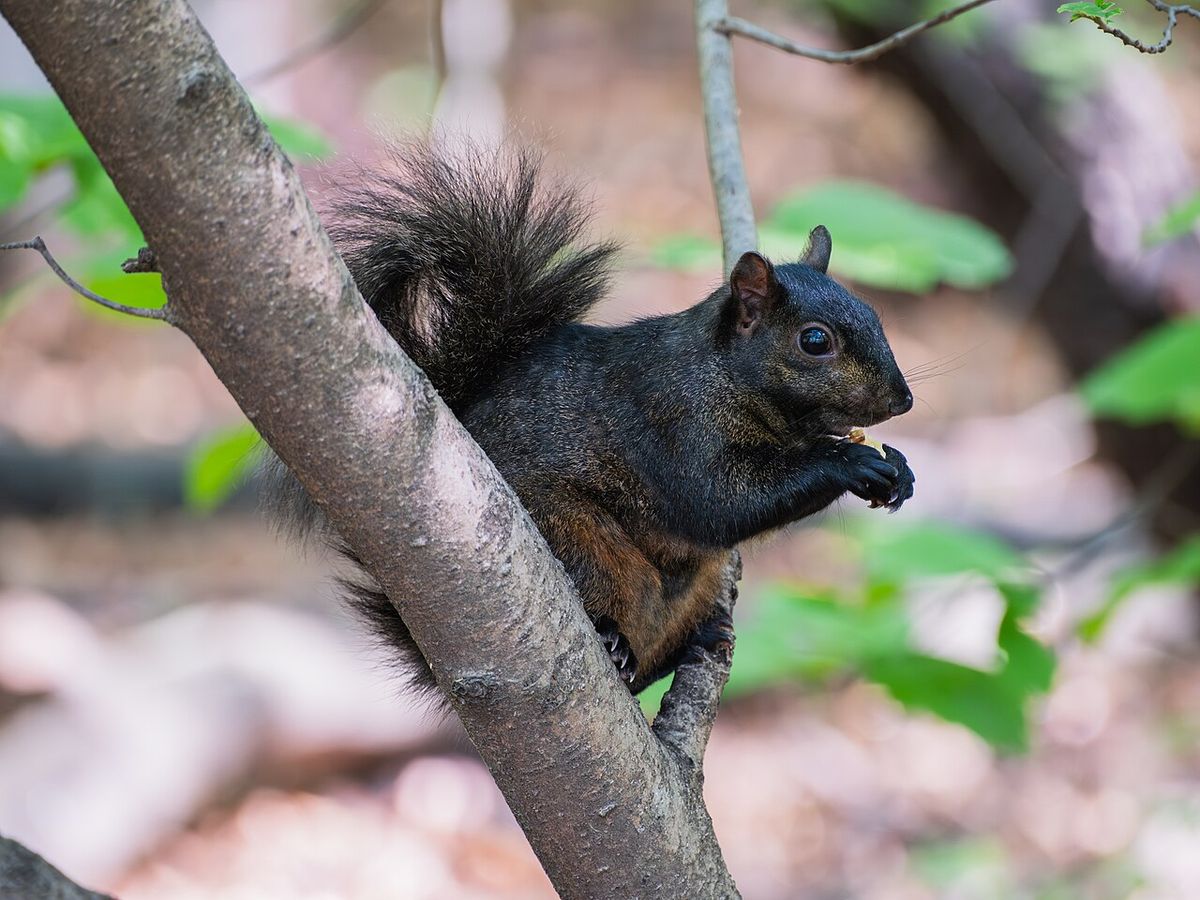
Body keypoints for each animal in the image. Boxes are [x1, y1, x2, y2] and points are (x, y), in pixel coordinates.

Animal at [267, 143, 915, 698]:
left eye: (874, 313)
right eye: (814, 341)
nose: (902, 401)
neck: (729, 380)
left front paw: (899, 470)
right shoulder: (671, 420)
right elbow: (718, 502)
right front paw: (851, 460)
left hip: (694, 584)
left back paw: (695, 640)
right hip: (580, 545)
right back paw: (613, 642)